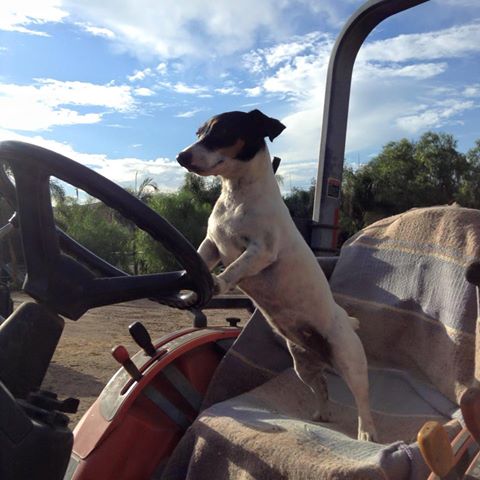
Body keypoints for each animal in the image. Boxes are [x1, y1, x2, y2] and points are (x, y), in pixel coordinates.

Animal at [178, 109, 376, 442]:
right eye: (198, 132)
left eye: (222, 130)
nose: (181, 156)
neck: (236, 198)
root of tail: (347, 321)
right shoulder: (212, 245)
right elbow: (198, 262)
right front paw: (188, 287)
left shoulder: (261, 251)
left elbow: (236, 267)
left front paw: (219, 282)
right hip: (303, 366)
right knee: (322, 387)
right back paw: (322, 413)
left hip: (350, 362)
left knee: (362, 400)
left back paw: (366, 432)